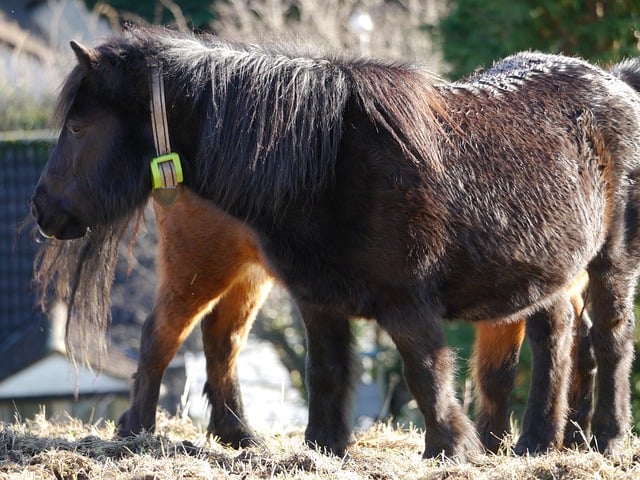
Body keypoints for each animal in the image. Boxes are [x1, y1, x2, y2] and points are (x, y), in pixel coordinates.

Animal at [31, 26, 640, 460]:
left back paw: (602, 439)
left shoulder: (406, 302)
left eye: (79, 127)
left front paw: (451, 448)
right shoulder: (319, 299)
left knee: (606, 341)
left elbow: (426, 372)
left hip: (608, 262)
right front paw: (323, 448)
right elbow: (325, 372)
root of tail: (616, 82)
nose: (41, 208)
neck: (328, 156)